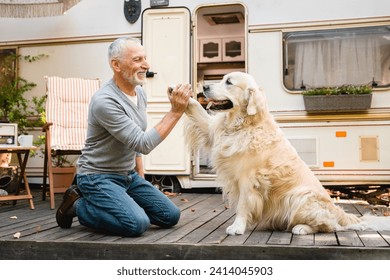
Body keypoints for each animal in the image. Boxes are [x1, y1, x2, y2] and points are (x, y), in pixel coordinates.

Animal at [184, 71, 390, 234]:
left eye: (228, 82)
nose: (204, 86)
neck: (243, 124)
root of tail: (339, 211)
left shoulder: (249, 179)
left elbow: (243, 204)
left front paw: (237, 227)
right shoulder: (212, 131)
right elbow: (200, 114)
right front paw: (184, 95)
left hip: (300, 196)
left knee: (329, 226)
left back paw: (302, 228)